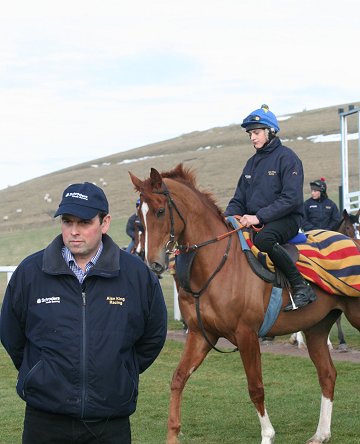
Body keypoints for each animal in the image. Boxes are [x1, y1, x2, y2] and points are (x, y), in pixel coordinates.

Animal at [129, 165, 360, 444]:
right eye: (139, 219)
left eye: (160, 211)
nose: (152, 263)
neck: (215, 265)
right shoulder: (201, 335)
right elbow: (178, 377)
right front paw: (173, 433)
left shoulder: (246, 335)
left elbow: (255, 387)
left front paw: (267, 435)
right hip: (316, 328)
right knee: (327, 374)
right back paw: (321, 434)